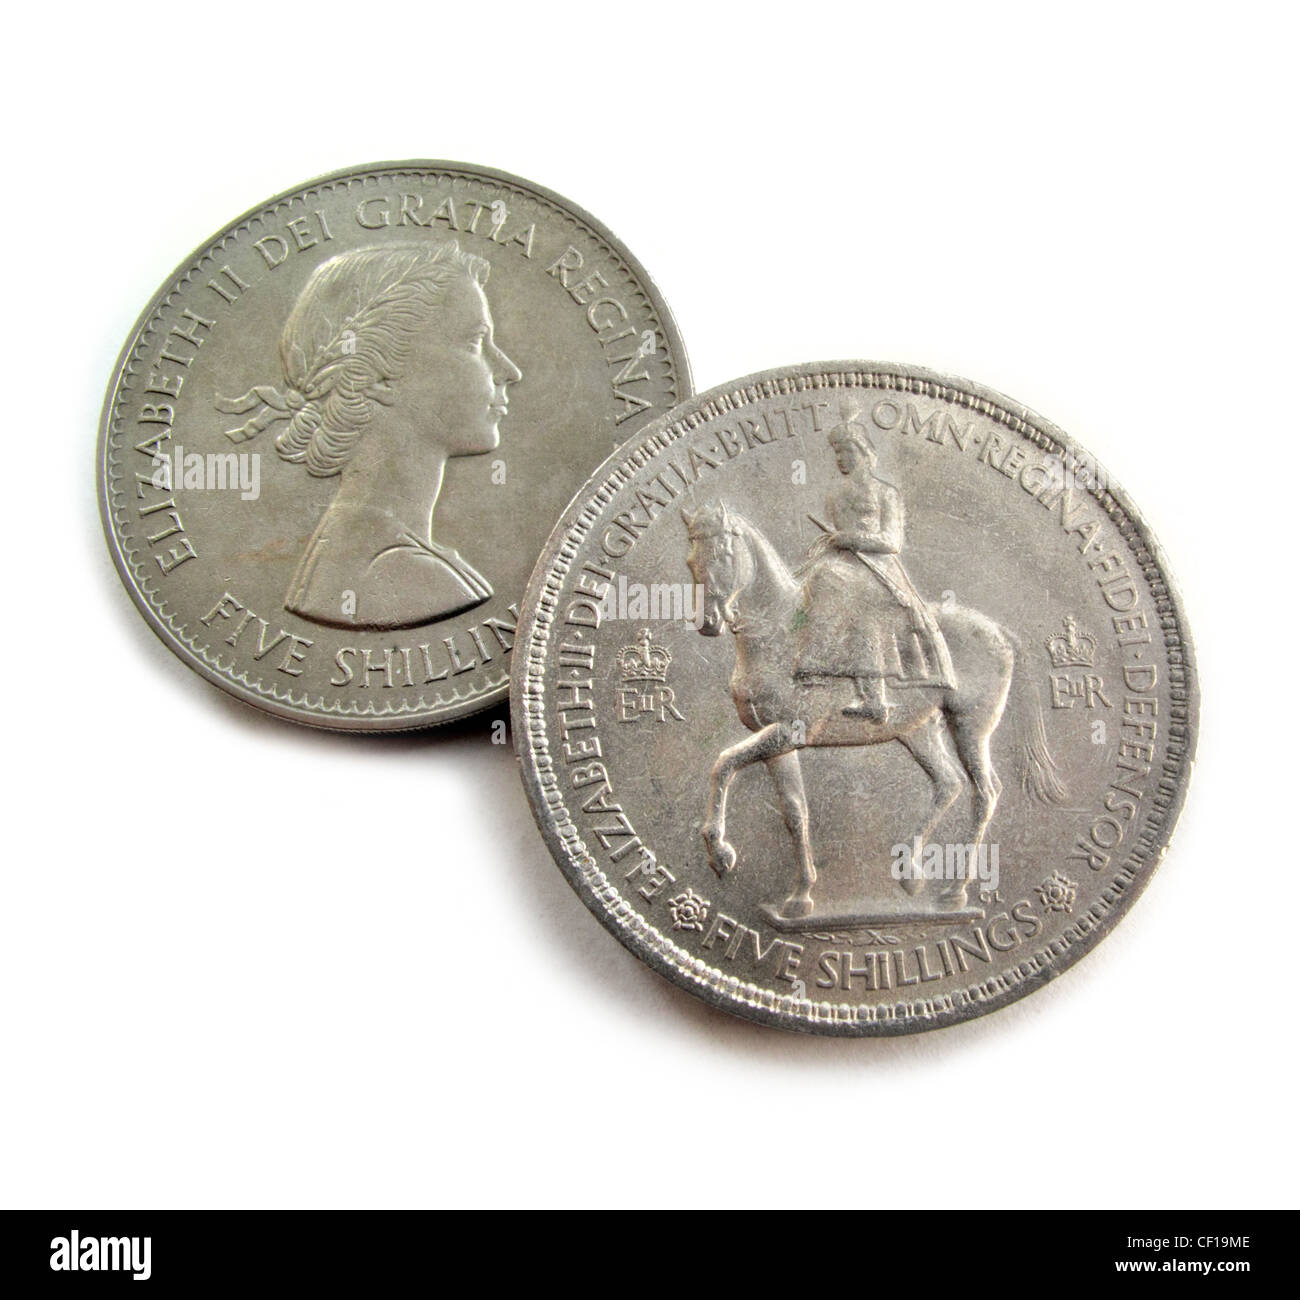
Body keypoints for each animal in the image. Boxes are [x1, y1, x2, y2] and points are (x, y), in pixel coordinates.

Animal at [681, 496, 1066, 915]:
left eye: (722, 553)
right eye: (690, 560)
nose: (708, 622)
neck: (782, 633)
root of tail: (1000, 633)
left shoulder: (788, 732)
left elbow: (723, 763)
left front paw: (720, 852)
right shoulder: (776, 742)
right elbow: (794, 812)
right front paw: (800, 895)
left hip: (970, 726)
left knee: (986, 793)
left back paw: (954, 891)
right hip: (917, 731)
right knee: (948, 783)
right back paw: (910, 872)